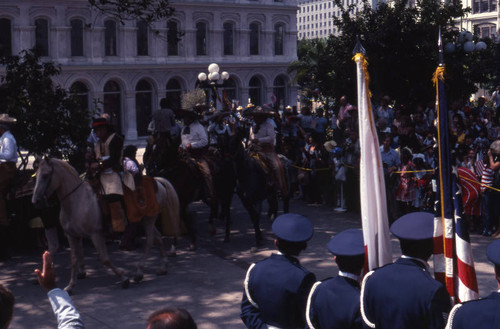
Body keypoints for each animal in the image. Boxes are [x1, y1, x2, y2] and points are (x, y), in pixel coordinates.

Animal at [31, 158, 180, 294]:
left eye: (45, 175)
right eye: (36, 176)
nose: (36, 201)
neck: (77, 200)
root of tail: (157, 181)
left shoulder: (95, 235)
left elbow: (104, 259)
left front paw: (124, 278)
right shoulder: (72, 236)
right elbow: (74, 260)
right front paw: (70, 286)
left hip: (149, 219)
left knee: (150, 241)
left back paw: (139, 272)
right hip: (144, 220)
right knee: (158, 238)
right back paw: (163, 267)